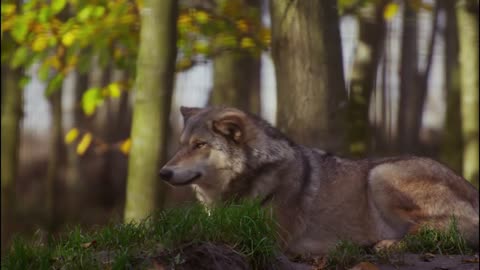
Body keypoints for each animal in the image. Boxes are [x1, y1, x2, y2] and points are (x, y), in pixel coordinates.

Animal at [160, 105, 480, 255]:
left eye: (200, 145)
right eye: (182, 144)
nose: (163, 173)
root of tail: (471, 187)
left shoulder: (265, 236)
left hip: (379, 175)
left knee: (445, 231)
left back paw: (384, 244)